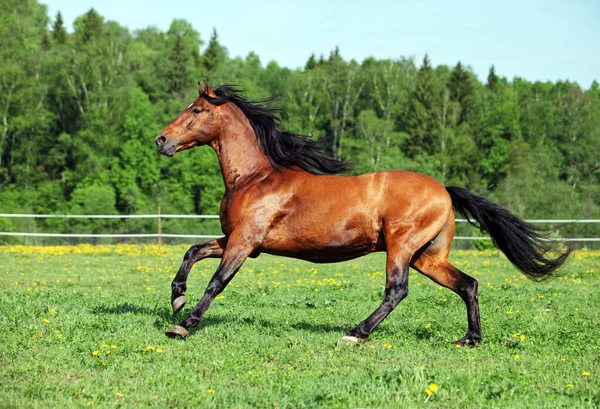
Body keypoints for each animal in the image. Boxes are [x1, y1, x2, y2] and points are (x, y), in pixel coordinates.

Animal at [154, 81, 568, 342]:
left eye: (196, 109)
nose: (161, 140)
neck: (256, 178)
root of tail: (443, 191)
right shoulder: (237, 240)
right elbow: (192, 252)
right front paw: (177, 298)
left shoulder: (244, 241)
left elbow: (217, 281)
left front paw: (183, 325)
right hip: (428, 256)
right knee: (468, 284)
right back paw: (469, 339)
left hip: (401, 247)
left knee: (397, 290)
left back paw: (356, 333)